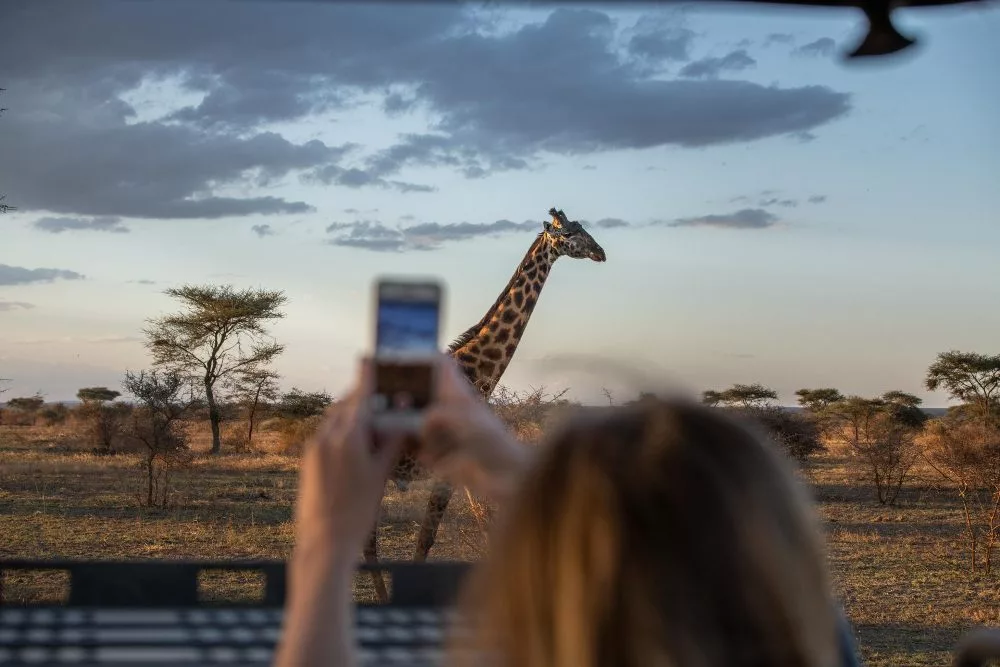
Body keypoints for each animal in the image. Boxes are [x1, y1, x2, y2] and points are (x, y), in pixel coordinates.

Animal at [363, 207, 607, 600]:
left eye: (582, 227)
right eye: (568, 232)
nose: (601, 252)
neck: (476, 375)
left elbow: (484, 524)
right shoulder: (447, 469)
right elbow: (425, 541)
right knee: (365, 541)